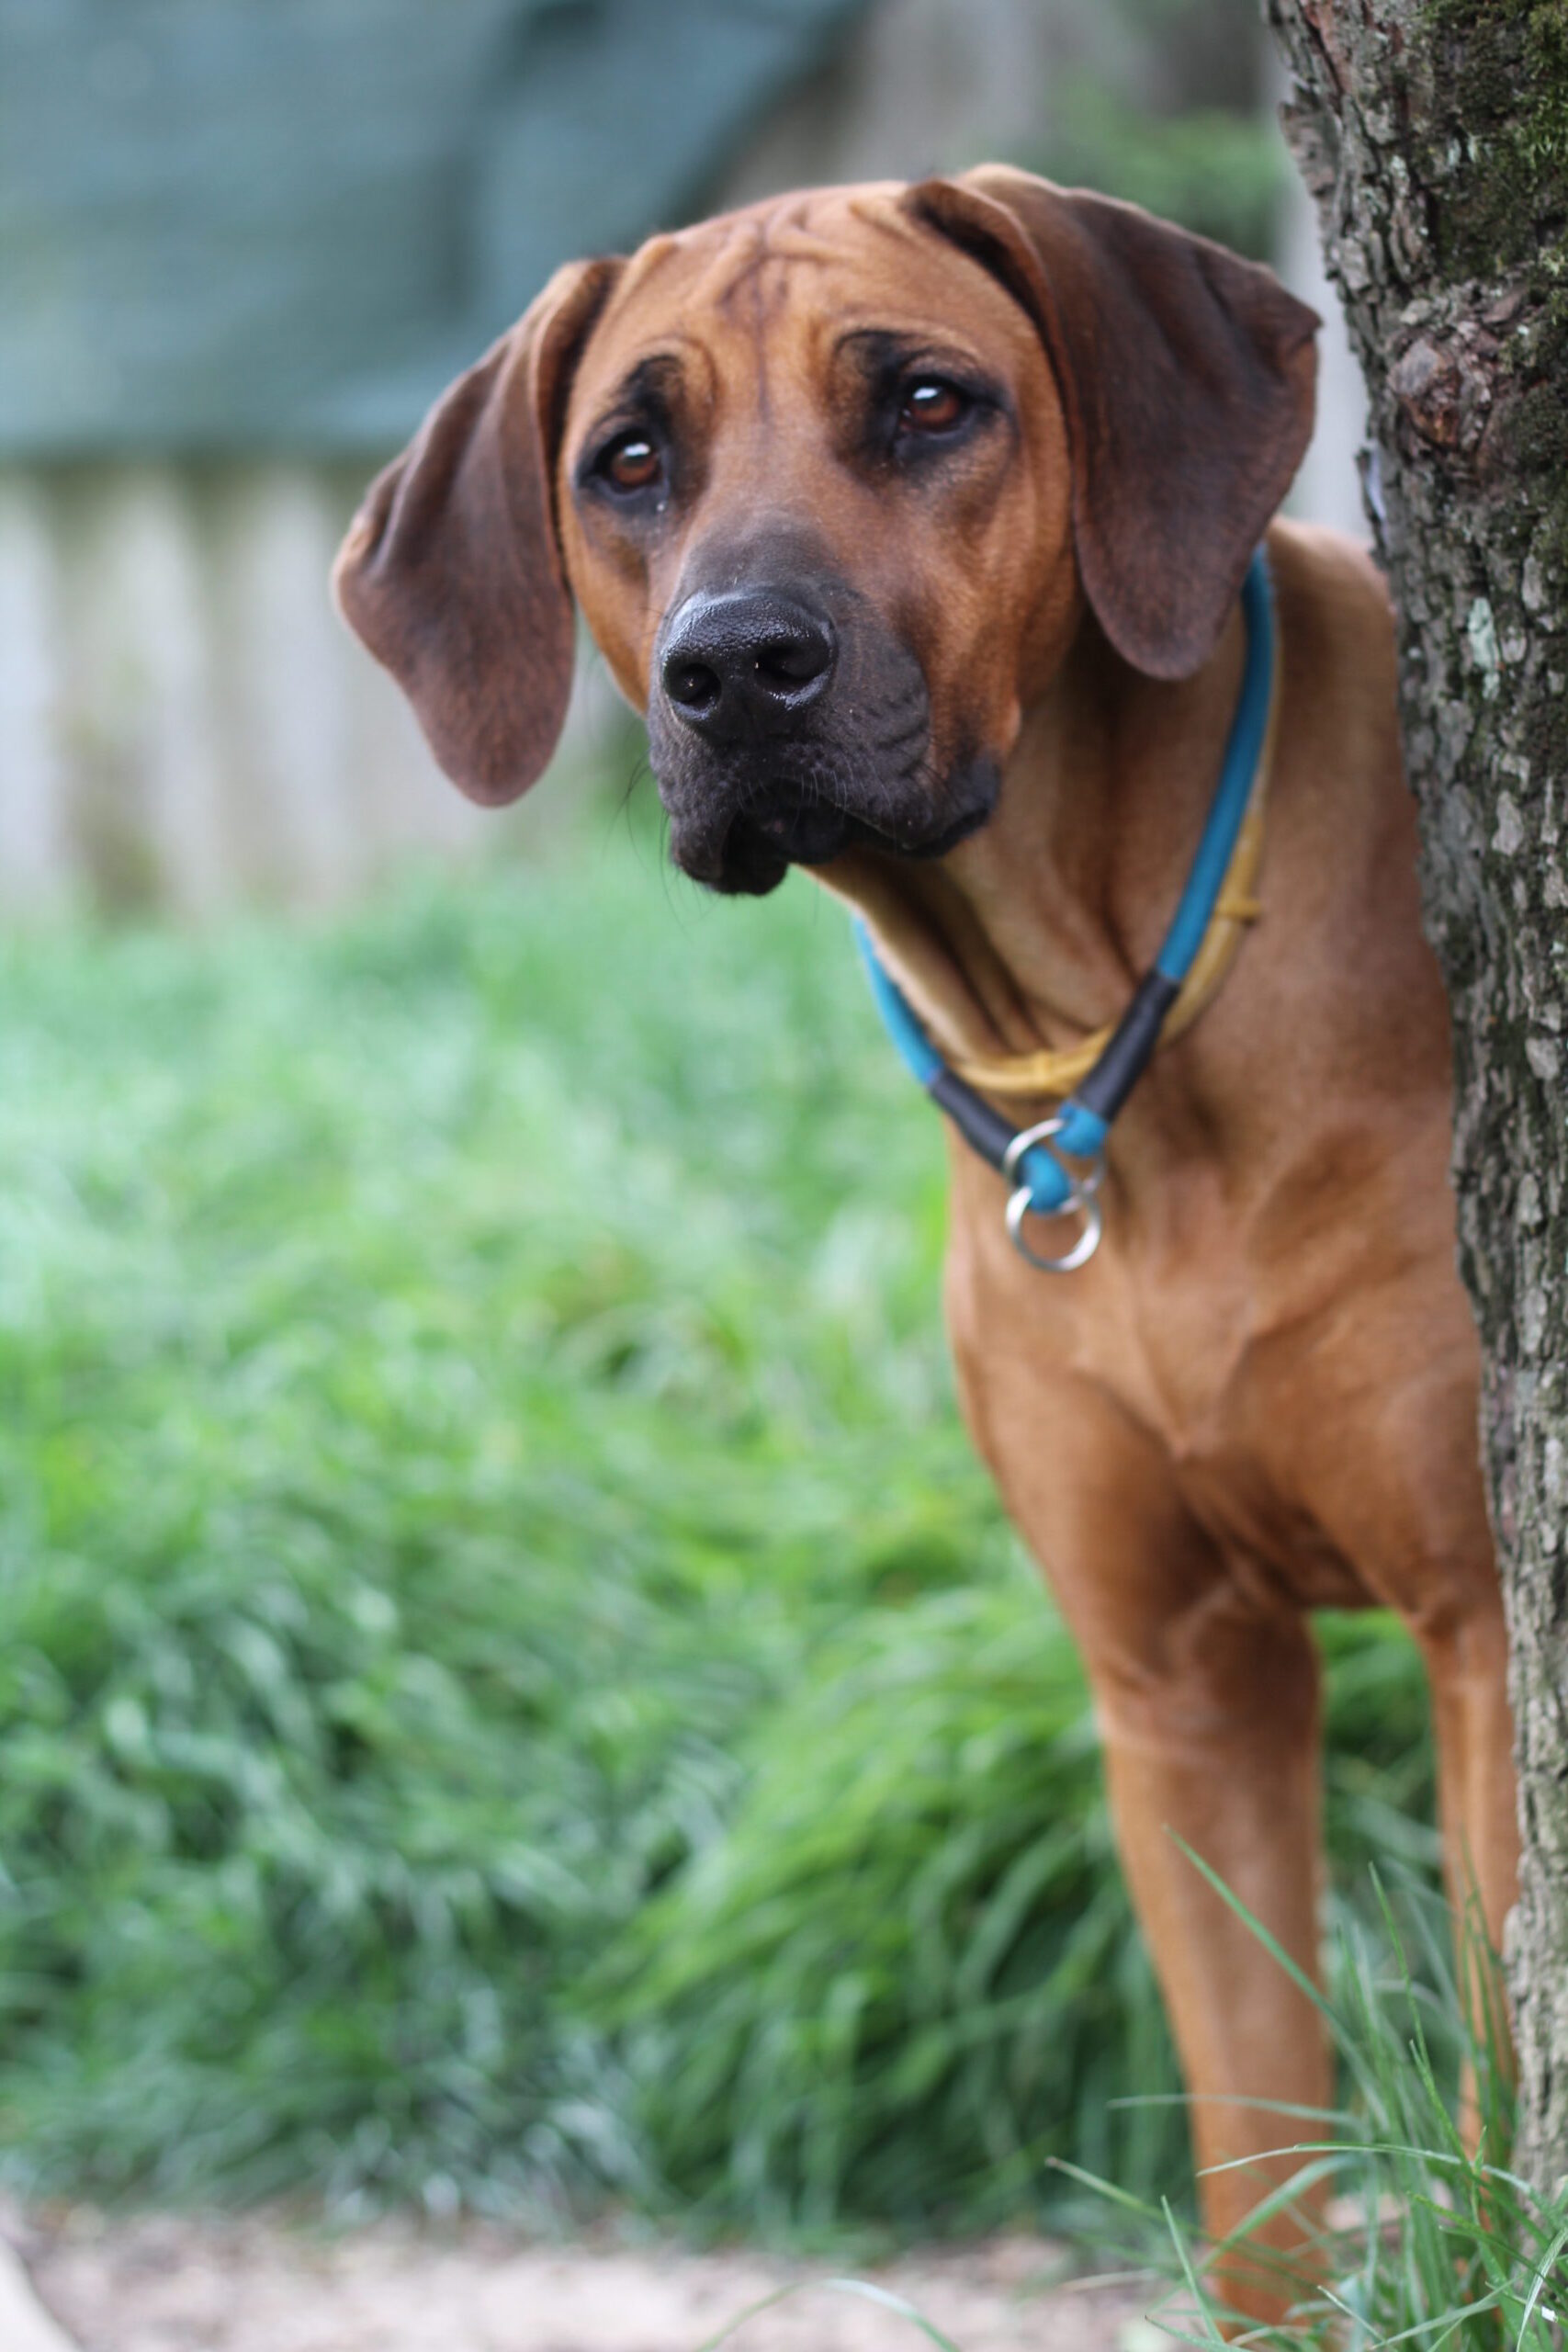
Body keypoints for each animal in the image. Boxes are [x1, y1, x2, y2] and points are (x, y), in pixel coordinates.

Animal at [333, 170, 1523, 2314]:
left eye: (923, 402)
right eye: (627, 460)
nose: (738, 663)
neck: (1105, 1023)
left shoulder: (1482, 1629)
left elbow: (1489, 2081)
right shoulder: (1173, 1683)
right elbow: (1254, 2153)